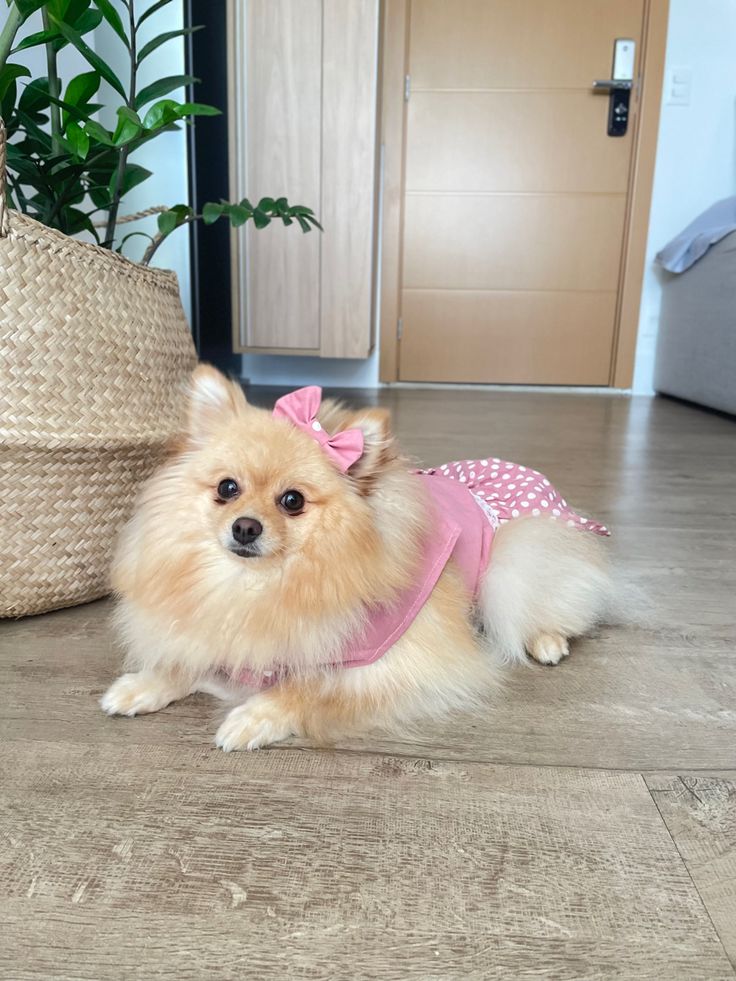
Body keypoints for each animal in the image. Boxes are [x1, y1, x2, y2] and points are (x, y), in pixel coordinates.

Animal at [102, 368, 608, 752]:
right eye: (228, 488)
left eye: (292, 501)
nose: (245, 527)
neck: (263, 586)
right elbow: (185, 662)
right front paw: (143, 684)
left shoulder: (402, 665)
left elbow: (305, 688)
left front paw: (254, 717)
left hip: (513, 561)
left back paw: (547, 641)